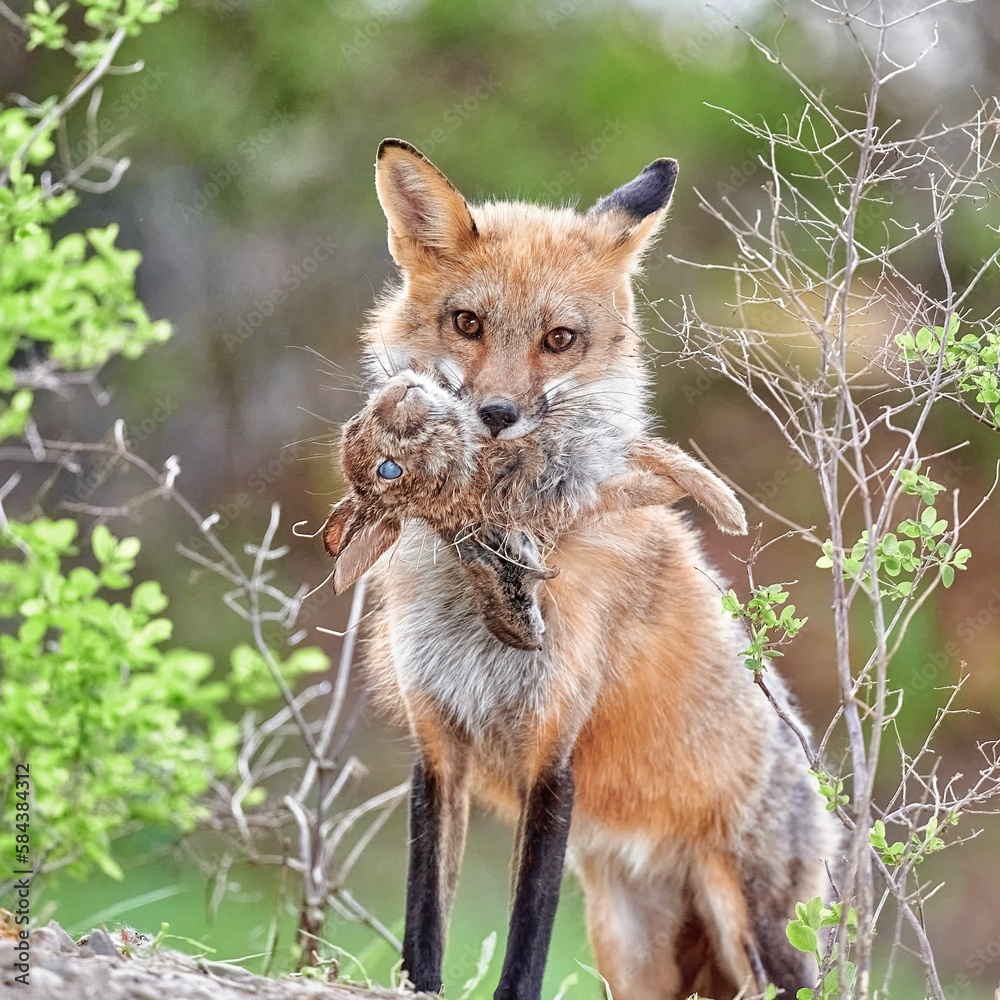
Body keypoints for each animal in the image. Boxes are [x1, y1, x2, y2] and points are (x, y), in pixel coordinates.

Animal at [337, 138, 840, 1000]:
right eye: (467, 323)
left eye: (560, 339)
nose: (495, 416)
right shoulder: (438, 747)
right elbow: (424, 924)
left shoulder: (554, 750)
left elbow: (526, 943)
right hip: (627, 948)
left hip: (755, 937)